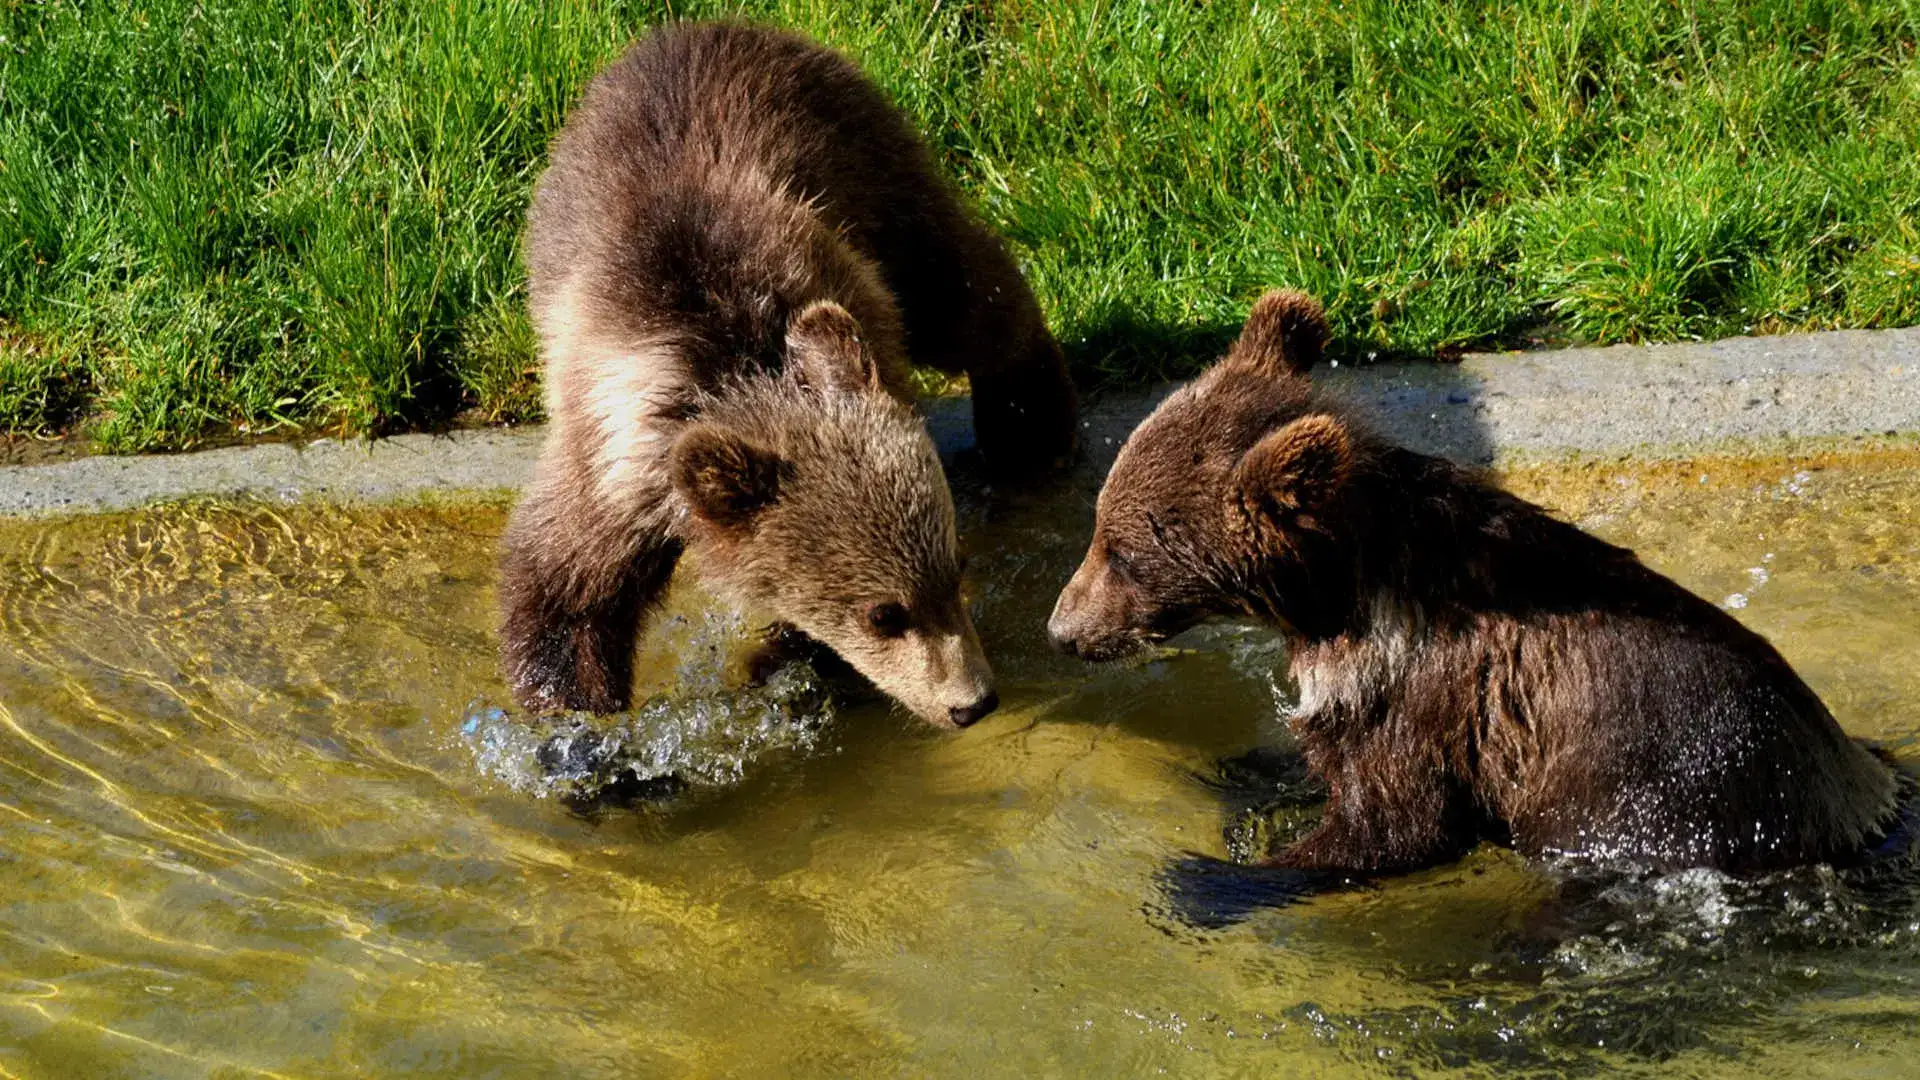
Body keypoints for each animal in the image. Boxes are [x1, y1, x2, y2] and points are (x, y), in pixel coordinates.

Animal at [499, 22, 1077, 727]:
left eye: (955, 566)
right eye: (885, 613)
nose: (973, 702)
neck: (731, 370)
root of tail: (702, 27)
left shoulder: (852, 309)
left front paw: (778, 662)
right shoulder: (617, 463)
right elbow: (564, 588)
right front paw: (579, 728)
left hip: (872, 171)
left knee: (961, 289)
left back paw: (1029, 427)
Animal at [1048, 288, 1907, 912]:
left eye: (1123, 552)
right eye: (1099, 527)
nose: (1061, 629)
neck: (1338, 600)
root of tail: (1864, 810)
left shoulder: (1429, 694)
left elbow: (1394, 825)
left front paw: (1209, 876)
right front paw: (1247, 766)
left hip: (1670, 800)